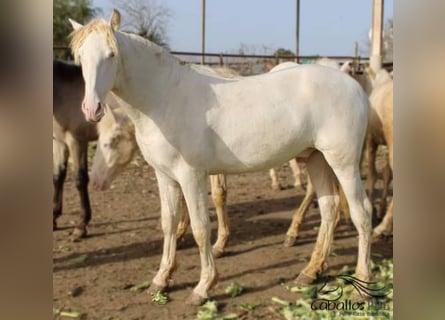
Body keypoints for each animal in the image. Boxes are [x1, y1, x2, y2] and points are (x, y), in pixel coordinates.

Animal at [68, 10, 372, 304]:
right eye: (80, 57)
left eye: (111, 54)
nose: (91, 108)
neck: (164, 98)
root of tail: (355, 87)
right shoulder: (165, 176)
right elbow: (169, 224)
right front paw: (161, 279)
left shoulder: (191, 175)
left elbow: (201, 228)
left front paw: (203, 287)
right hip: (317, 159)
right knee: (330, 210)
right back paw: (310, 272)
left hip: (343, 163)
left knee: (362, 214)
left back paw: (362, 283)